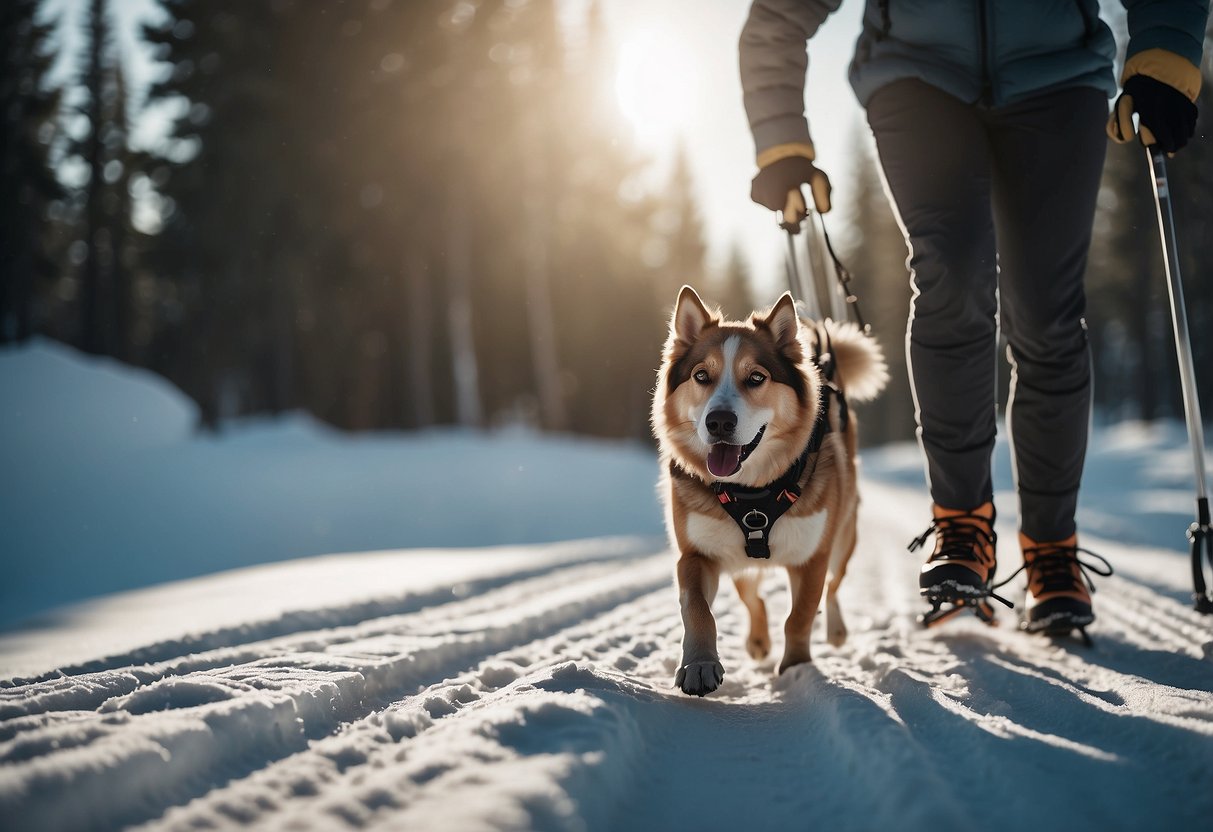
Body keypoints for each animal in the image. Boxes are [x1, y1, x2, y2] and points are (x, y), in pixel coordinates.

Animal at [659, 286, 887, 698]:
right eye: (701, 375)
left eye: (756, 377)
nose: (719, 422)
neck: (752, 491)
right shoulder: (696, 554)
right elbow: (697, 609)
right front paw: (699, 665)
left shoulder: (812, 556)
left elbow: (799, 616)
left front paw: (797, 668)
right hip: (738, 561)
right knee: (754, 598)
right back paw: (757, 641)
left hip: (843, 538)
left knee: (833, 586)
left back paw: (836, 630)